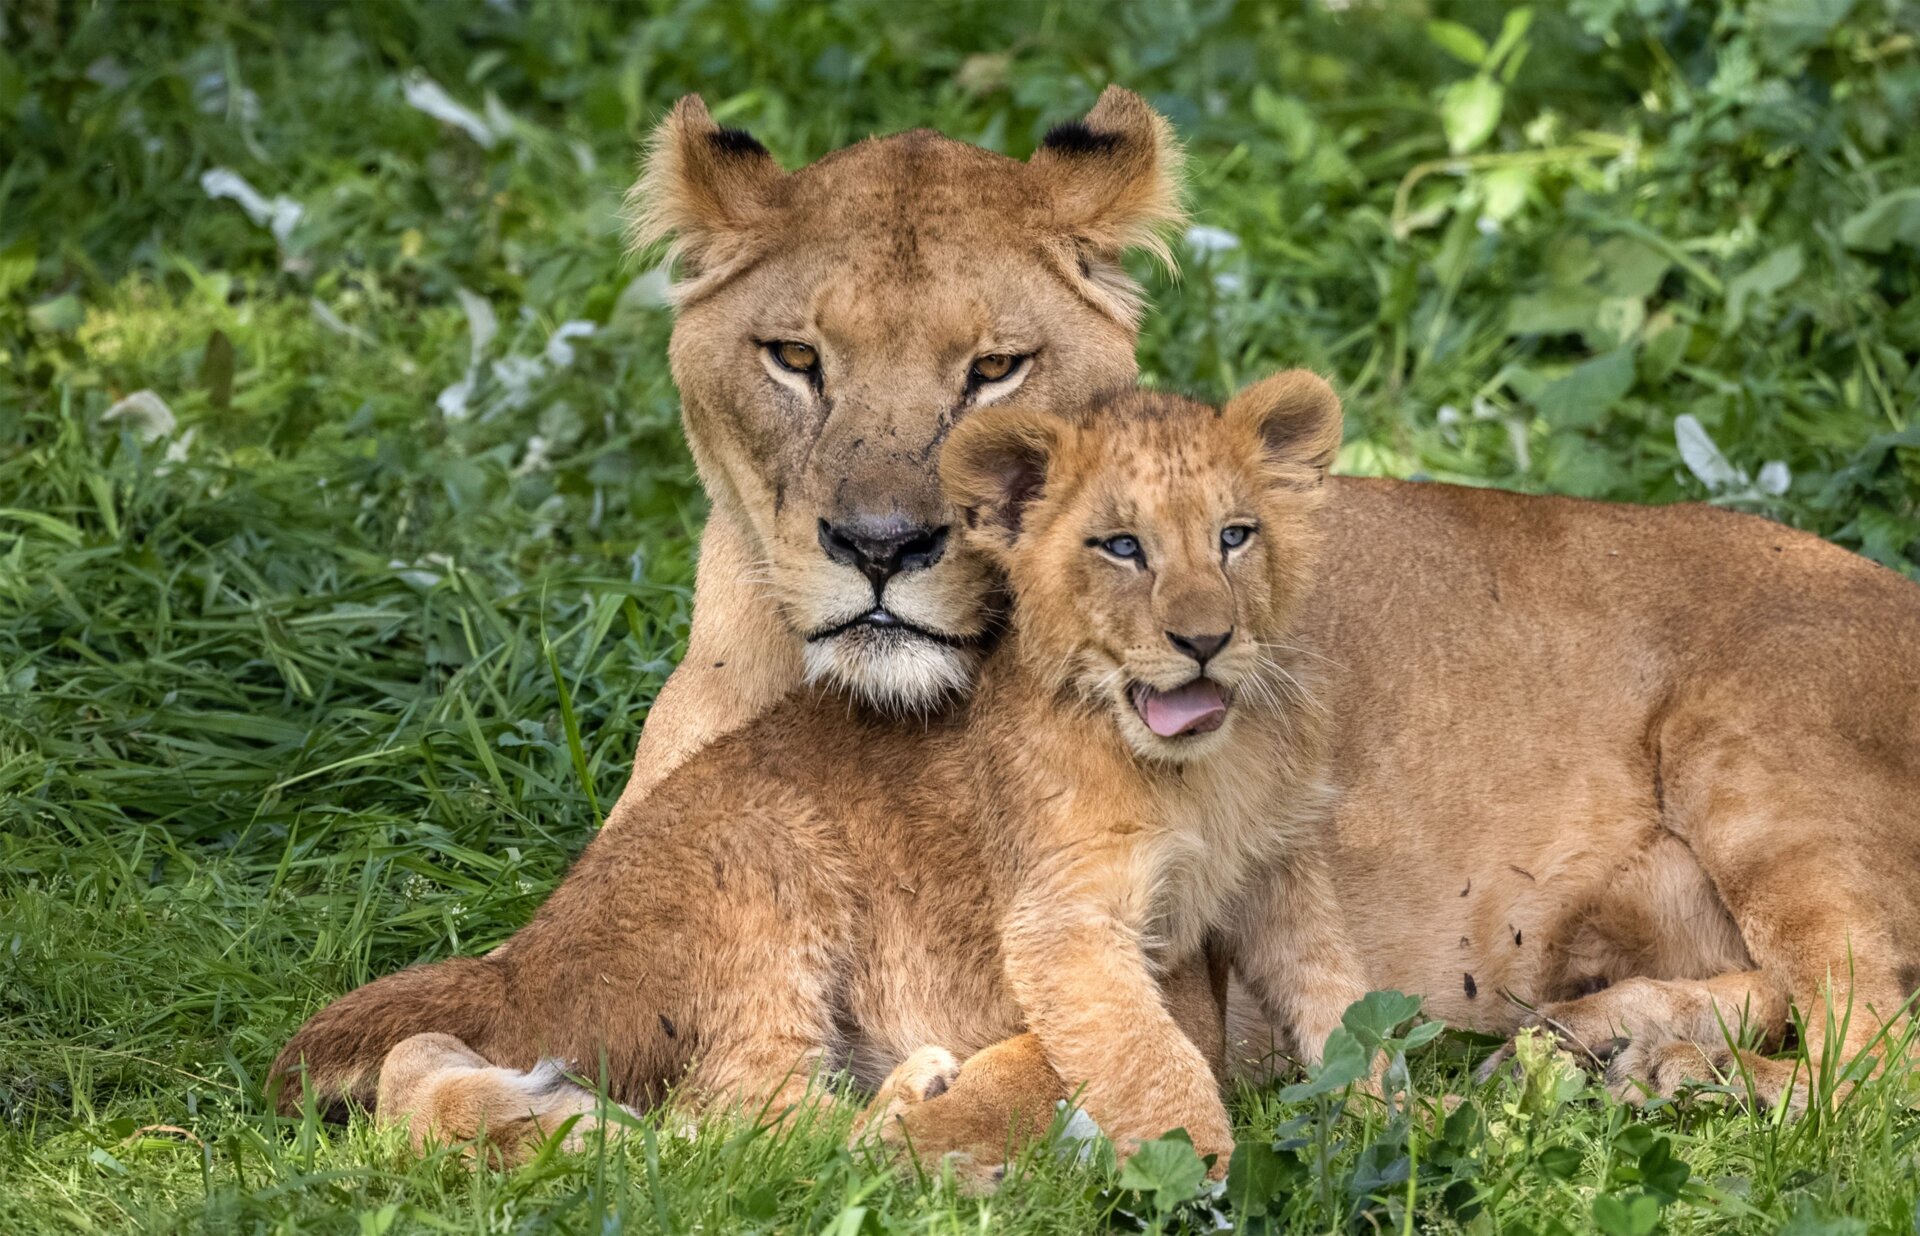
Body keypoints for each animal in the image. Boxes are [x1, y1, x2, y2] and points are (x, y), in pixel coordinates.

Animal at [270, 376, 1371, 1181]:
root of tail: (526, 959)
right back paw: (914, 1104)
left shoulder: (1276, 877)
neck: (1202, 769)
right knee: (744, 1138)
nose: (1204, 640)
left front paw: (1389, 1111)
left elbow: (1336, 991)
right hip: (770, 872)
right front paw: (1198, 1162)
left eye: (1235, 536)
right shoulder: (1071, 921)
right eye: (1122, 548)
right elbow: (1140, 1049)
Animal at [611, 87, 1920, 1116]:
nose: (882, 545)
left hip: (1750, 755)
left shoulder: (1176, 985)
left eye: (995, 367)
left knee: (1872, 1073)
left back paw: (1674, 1077)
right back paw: (1603, 1046)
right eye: (794, 358)